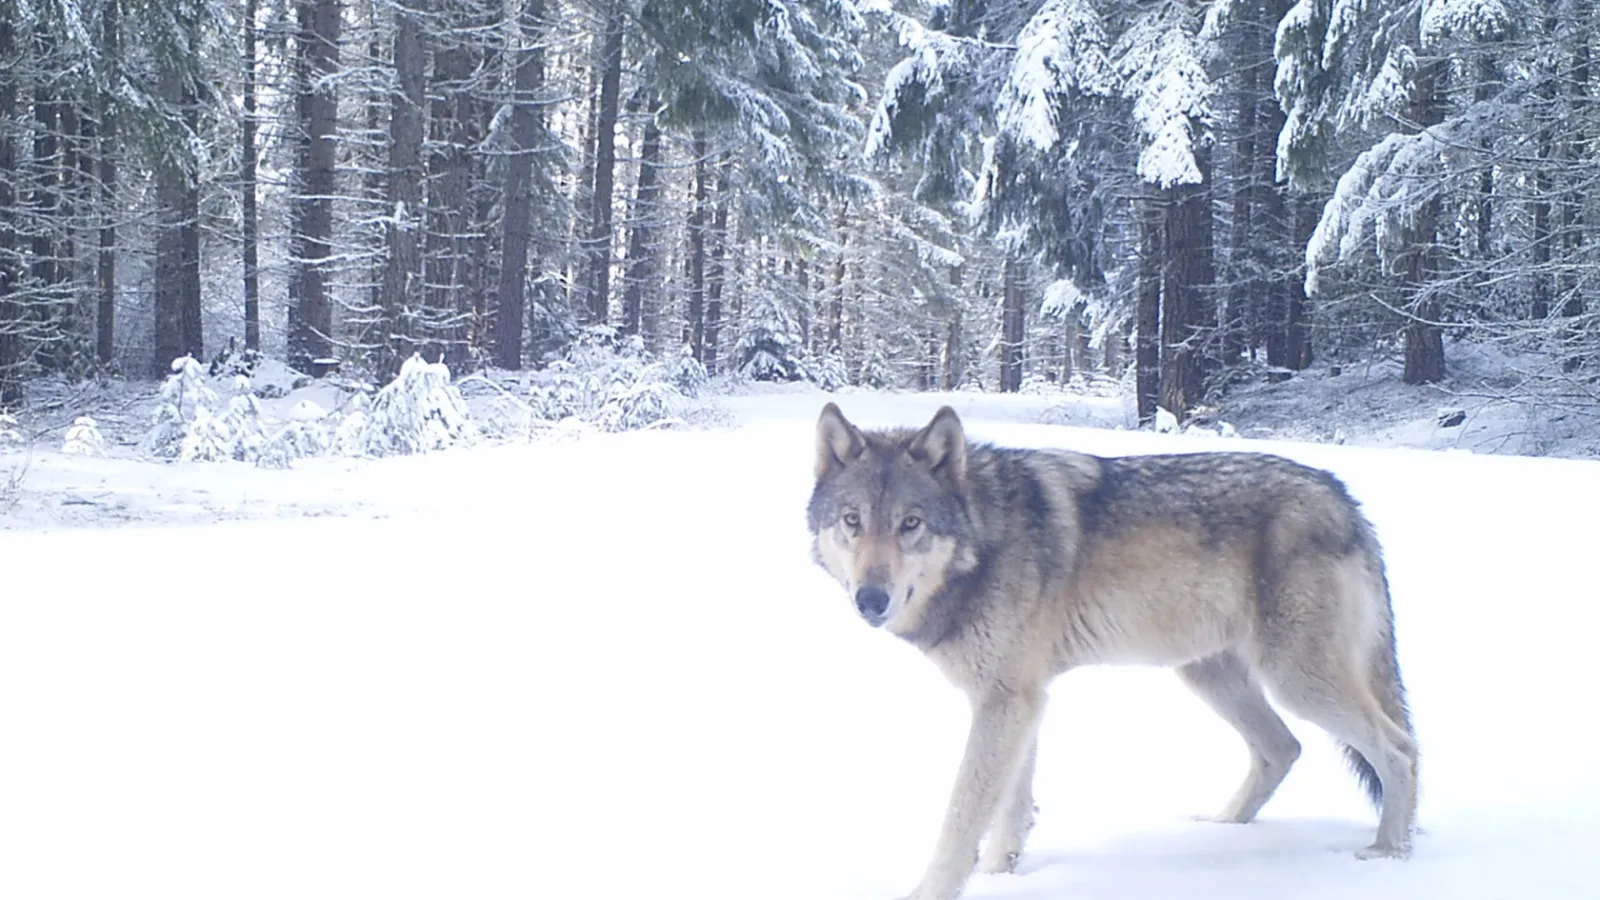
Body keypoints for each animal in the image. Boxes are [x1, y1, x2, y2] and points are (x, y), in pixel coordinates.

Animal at [806, 403, 1419, 900]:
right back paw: (1217, 827)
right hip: (1211, 676)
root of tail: (1343, 494)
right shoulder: (1020, 698)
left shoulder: (1006, 701)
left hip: (1296, 681)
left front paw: (933, 891)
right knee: (1283, 749)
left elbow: (962, 815)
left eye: (910, 524)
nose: (871, 599)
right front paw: (1002, 875)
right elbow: (1011, 807)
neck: (986, 538)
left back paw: (1389, 856)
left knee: (1399, 748)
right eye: (852, 522)